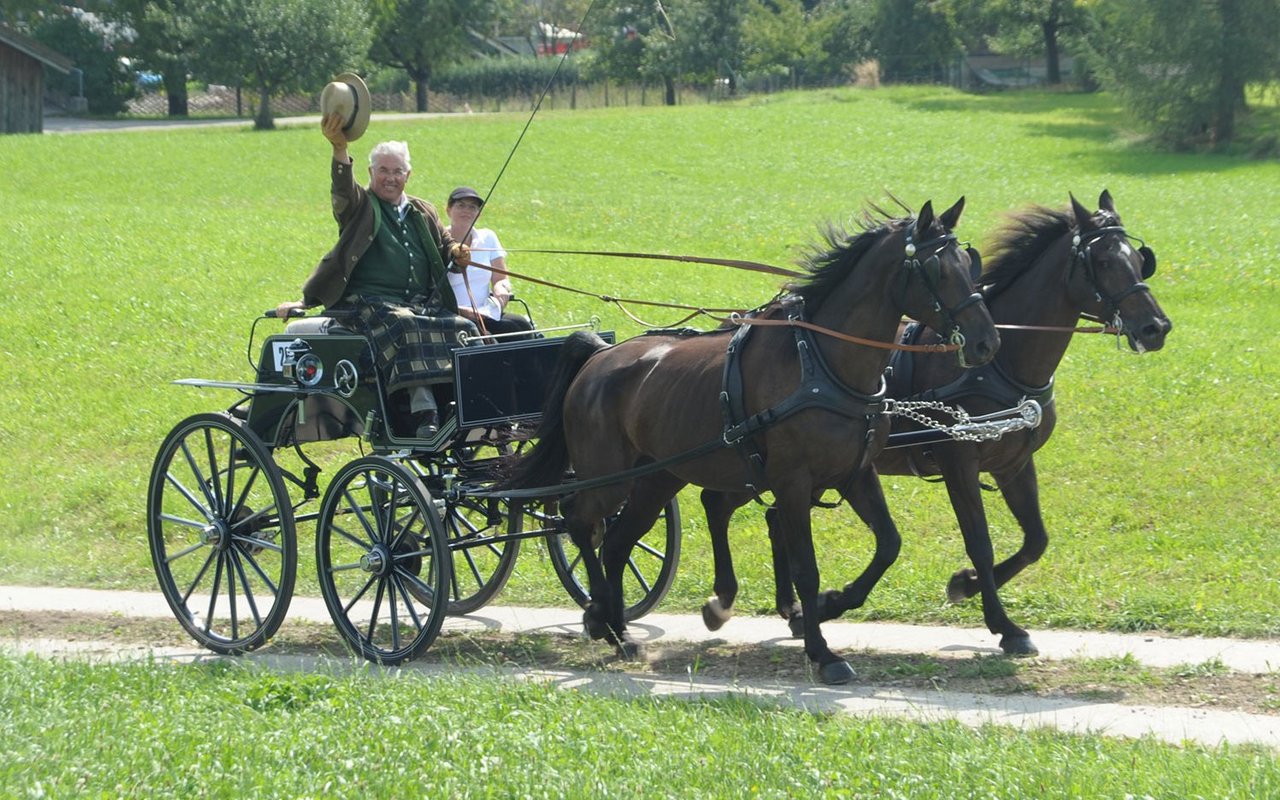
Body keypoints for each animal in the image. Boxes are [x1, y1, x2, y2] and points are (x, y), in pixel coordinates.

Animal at [506, 199, 998, 680]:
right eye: (937, 270)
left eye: (968, 264)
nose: (987, 343)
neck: (821, 364)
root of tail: (599, 355)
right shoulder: (793, 483)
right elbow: (806, 568)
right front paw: (823, 651)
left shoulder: (856, 474)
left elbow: (889, 545)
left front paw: (835, 602)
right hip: (609, 478)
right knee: (579, 522)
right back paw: (601, 616)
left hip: (658, 478)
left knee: (616, 542)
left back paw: (618, 629)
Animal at [706, 192, 1172, 655]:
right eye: (1105, 261)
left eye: (1139, 259)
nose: (1156, 327)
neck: (1002, 364)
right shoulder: (958, 462)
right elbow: (980, 543)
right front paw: (1002, 623)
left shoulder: (1014, 463)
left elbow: (1035, 540)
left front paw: (964, 585)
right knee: (720, 503)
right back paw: (729, 602)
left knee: (770, 518)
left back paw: (790, 608)